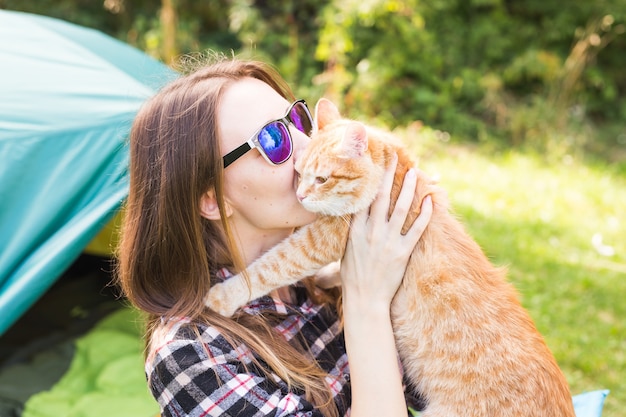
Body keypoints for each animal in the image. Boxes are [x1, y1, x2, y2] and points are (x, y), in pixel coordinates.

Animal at [208, 98, 576, 416]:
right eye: (297, 172)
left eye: (322, 179)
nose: (299, 195)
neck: (391, 166)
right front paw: (328, 278)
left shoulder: (323, 237)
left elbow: (271, 265)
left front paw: (223, 296)